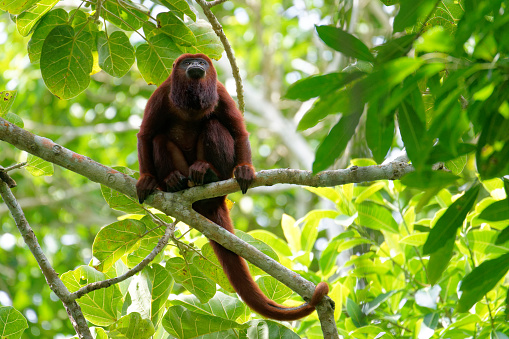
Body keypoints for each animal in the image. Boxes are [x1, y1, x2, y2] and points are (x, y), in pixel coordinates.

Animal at [135, 53, 330, 322]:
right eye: (186, 63)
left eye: (202, 63)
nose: (195, 65)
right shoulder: (162, 93)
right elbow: (146, 134)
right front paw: (146, 179)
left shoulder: (220, 91)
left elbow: (238, 131)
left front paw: (245, 169)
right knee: (159, 138)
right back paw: (173, 181)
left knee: (214, 125)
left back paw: (207, 173)